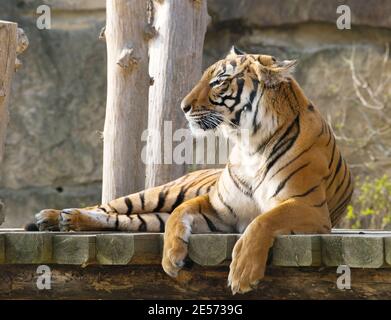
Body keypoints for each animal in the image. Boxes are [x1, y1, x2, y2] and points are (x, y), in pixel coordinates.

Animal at [26, 45, 354, 296]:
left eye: (219, 81)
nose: (182, 106)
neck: (249, 143)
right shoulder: (218, 208)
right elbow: (180, 213)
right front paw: (171, 259)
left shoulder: (309, 207)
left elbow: (263, 221)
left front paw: (243, 273)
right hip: (157, 193)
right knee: (110, 207)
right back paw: (55, 216)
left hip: (149, 218)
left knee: (122, 220)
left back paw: (65, 220)